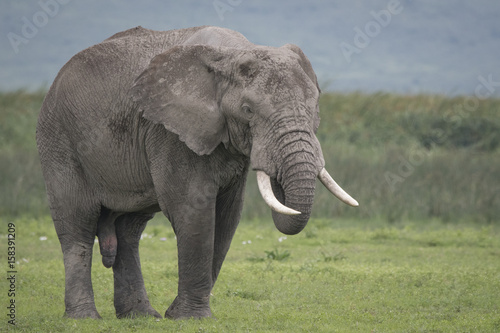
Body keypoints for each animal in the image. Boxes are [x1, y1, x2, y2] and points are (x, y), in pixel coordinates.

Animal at [37, 26, 358, 320]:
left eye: (314, 108)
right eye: (247, 109)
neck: (233, 53)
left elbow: (228, 216)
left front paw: (175, 314)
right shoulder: (170, 132)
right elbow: (193, 209)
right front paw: (190, 318)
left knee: (129, 229)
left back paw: (142, 317)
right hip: (59, 140)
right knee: (77, 223)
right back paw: (84, 318)